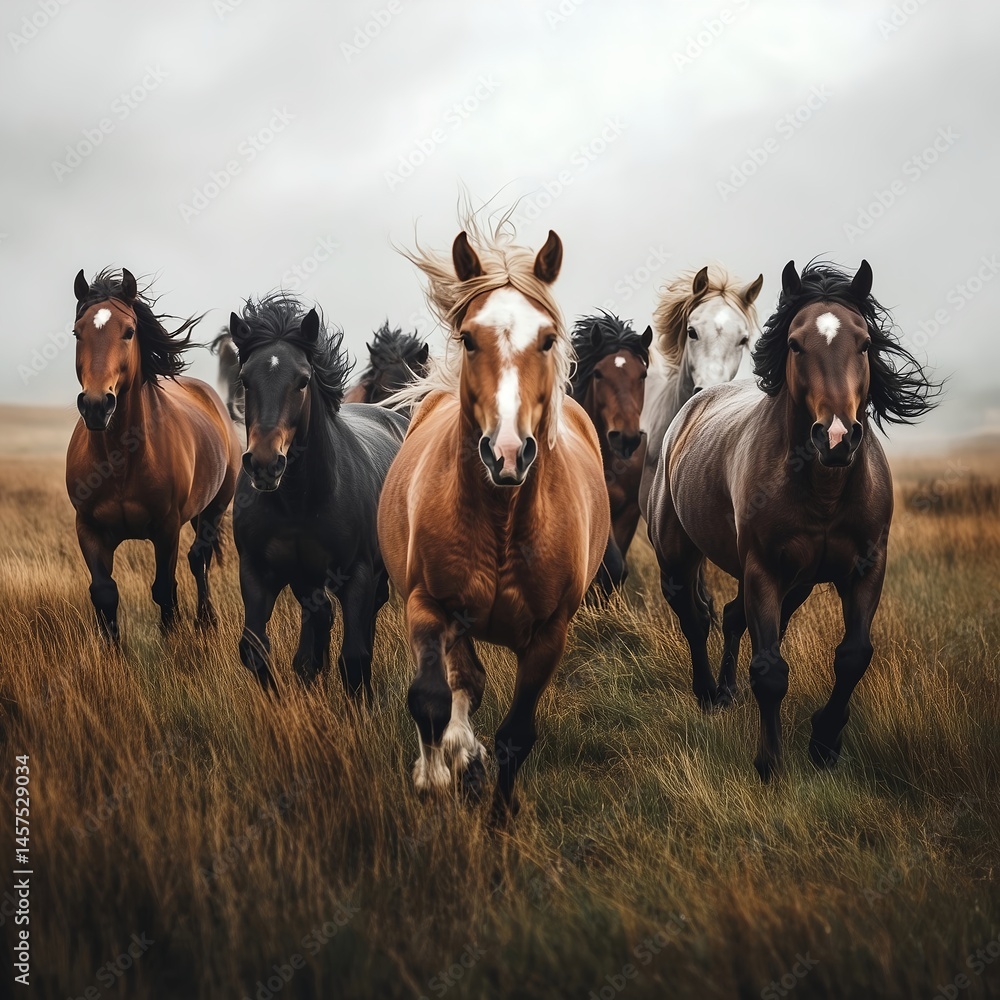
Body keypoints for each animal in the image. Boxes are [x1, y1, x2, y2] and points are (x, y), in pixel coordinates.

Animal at [66, 268, 241, 640]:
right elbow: (104, 592)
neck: (120, 460)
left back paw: (206, 620)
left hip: (215, 506)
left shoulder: (167, 527)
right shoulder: (88, 527)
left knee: (199, 557)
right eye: (77, 332)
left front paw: (170, 638)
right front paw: (111, 647)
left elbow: (164, 589)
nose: (96, 405)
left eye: (129, 332)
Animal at [230, 294, 408, 697]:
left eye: (302, 381)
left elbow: (354, 658)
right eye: (245, 379)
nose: (265, 464)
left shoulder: (357, 573)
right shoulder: (258, 571)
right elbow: (253, 648)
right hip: (306, 577)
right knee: (321, 616)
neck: (299, 501)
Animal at [378, 222, 610, 824]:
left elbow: (516, 735)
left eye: (547, 339)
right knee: (462, 687)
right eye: (468, 339)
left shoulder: (550, 636)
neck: (504, 524)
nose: (506, 453)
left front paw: (500, 820)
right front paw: (435, 777)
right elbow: (431, 699)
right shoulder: (428, 604)